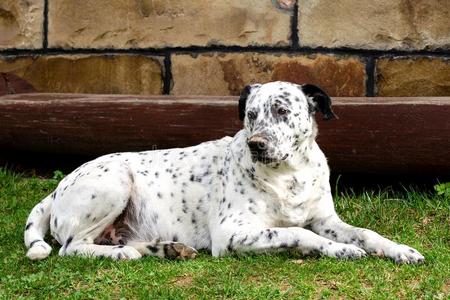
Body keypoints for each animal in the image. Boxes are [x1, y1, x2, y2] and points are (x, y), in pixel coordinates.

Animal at [23, 81, 426, 264]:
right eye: (251, 114)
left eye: (282, 111)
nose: (257, 144)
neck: (288, 176)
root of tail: (58, 188)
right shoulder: (232, 233)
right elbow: (298, 233)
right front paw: (340, 250)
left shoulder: (327, 219)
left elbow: (366, 233)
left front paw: (399, 249)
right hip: (114, 181)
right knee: (72, 247)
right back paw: (126, 255)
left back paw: (165, 248)